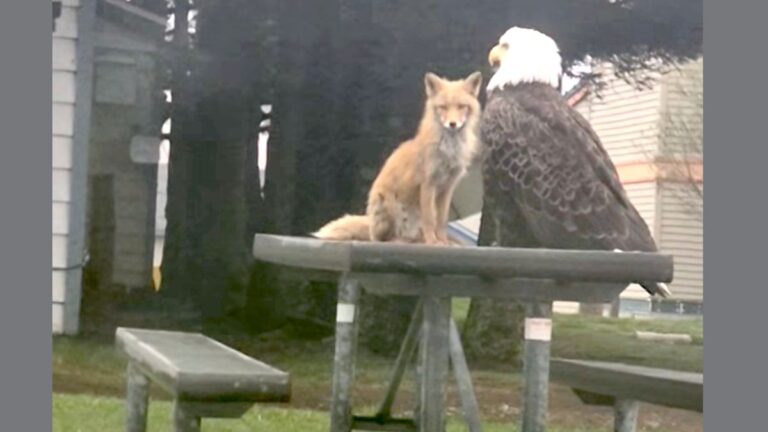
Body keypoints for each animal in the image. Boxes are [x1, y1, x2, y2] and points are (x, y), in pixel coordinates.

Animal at [313, 71, 483, 245]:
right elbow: (430, 219)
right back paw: (397, 240)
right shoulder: (428, 183)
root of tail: (370, 222)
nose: (452, 124)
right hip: (389, 205)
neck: (449, 150)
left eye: (461, 106)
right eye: (443, 107)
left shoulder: (448, 187)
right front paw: (432, 242)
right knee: (380, 239)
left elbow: (441, 220)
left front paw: (443, 241)